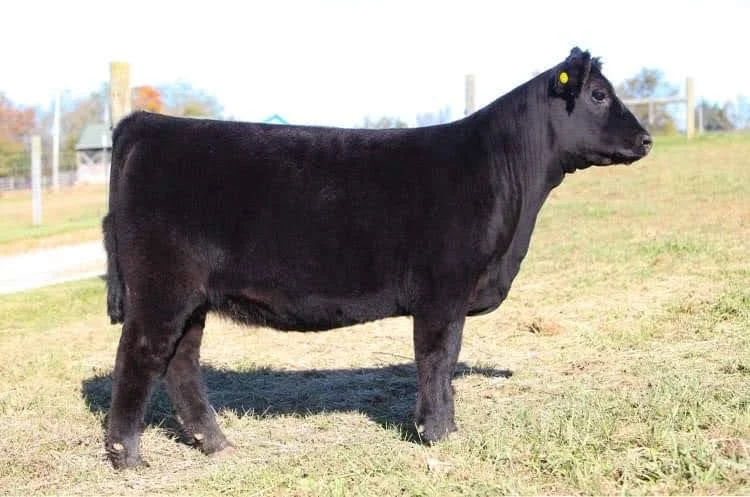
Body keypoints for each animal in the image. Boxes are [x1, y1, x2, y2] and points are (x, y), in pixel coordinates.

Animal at [102, 47, 651, 469]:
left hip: (193, 298)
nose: (646, 139)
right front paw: (439, 433)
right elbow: (438, 360)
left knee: (181, 362)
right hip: (161, 288)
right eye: (599, 95)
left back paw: (215, 443)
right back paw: (126, 456)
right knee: (140, 354)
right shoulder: (443, 293)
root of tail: (146, 125)